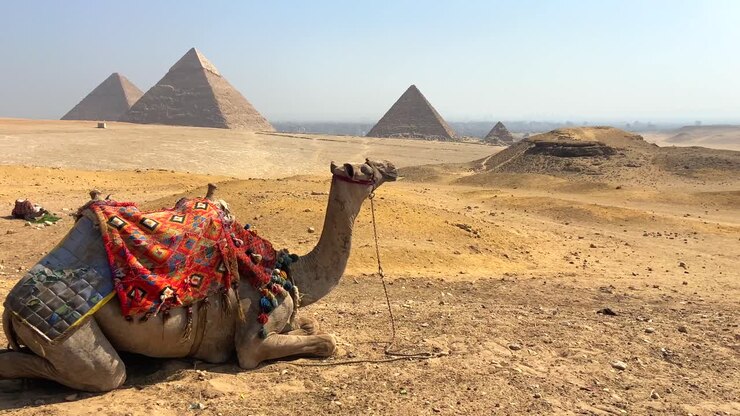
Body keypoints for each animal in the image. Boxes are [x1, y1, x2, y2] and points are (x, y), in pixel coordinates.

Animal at [0, 159, 397, 392]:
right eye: (366, 168)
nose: (390, 166)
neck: (287, 271)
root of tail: (10, 307)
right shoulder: (252, 339)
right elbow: (326, 341)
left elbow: (310, 325)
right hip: (67, 338)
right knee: (103, 373)